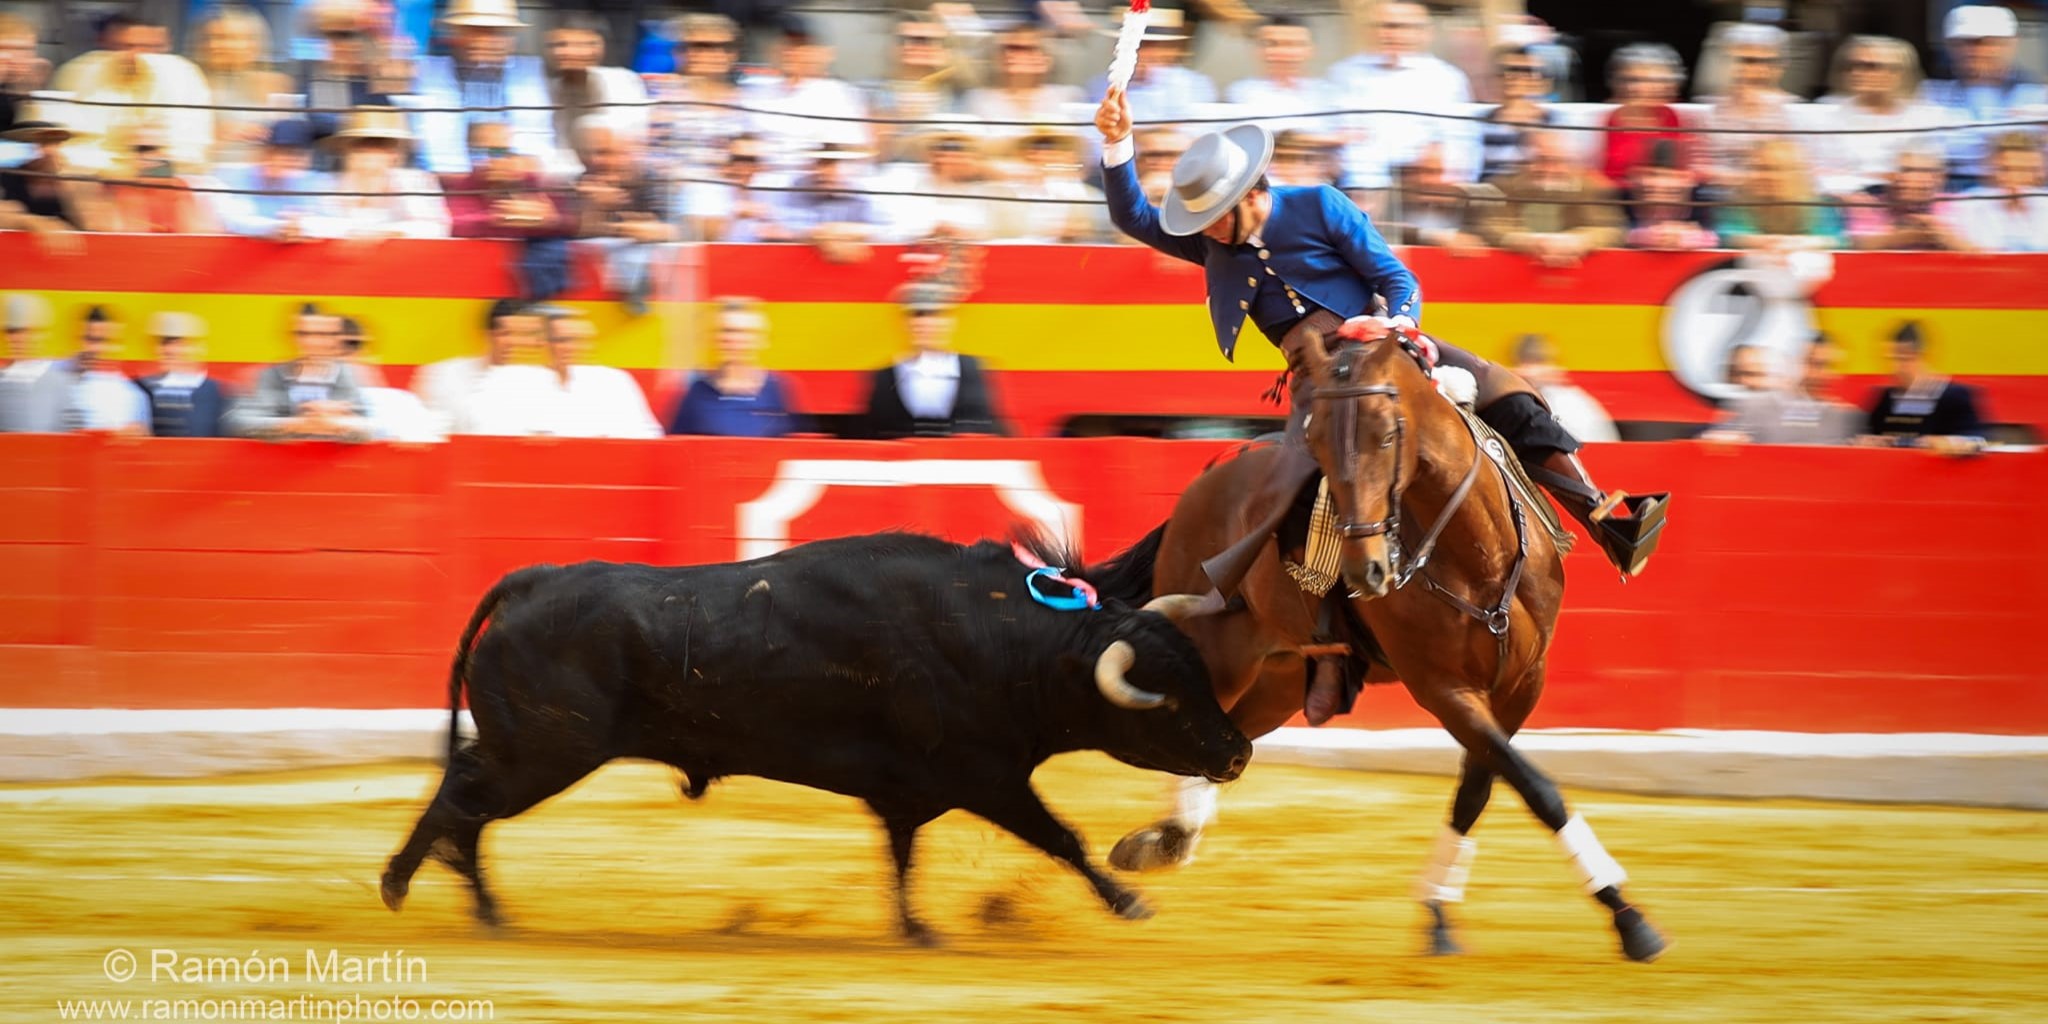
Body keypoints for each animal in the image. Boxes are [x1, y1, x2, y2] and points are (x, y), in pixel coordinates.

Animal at [376, 532, 1253, 937]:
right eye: (1166, 701)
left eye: (1202, 675)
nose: (1239, 750)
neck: (1009, 640)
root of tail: (537, 578)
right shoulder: (990, 777)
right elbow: (1063, 837)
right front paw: (1130, 902)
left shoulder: (913, 790)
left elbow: (901, 855)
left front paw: (915, 928)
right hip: (543, 752)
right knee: (462, 801)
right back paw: (405, 889)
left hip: (529, 751)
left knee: (463, 803)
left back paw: (479, 909)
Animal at [1089, 333, 1662, 958]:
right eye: (1316, 439)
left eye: (1388, 435)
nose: (1367, 571)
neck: (1475, 555)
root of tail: (1200, 488)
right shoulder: (1443, 689)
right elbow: (1535, 786)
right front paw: (1629, 917)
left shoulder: (1521, 682)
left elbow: (1480, 787)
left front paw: (1439, 911)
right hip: (1218, 654)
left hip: (1280, 676)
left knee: (1228, 739)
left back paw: (1169, 839)